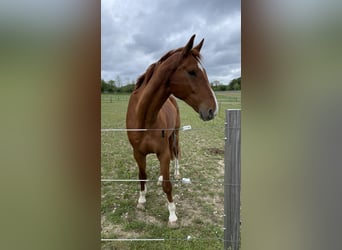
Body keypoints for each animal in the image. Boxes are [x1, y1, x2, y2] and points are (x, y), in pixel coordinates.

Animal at [127, 33, 218, 227]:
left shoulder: (163, 152)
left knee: (176, 153)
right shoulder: (138, 153)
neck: (144, 117)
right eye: (192, 71)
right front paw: (141, 201)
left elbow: (168, 185)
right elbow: (142, 176)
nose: (213, 110)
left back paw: (175, 173)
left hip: (174, 135)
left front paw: (172, 215)